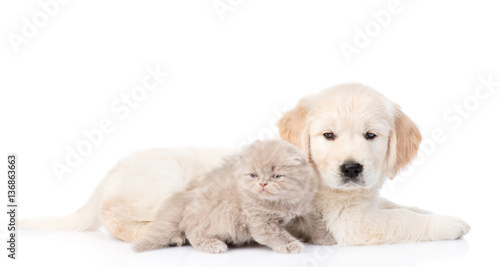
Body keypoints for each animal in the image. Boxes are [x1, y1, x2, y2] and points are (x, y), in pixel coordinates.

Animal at [133, 139, 336, 254]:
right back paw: (213, 245)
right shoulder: (261, 223)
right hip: (218, 215)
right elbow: (279, 236)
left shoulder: (304, 210)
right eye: (254, 175)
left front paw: (328, 240)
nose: (263, 184)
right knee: (193, 234)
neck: (281, 202)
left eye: (276, 176)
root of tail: (185, 198)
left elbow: (316, 225)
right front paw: (292, 246)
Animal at [280, 83, 470, 245]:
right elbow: (403, 217)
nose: (351, 169)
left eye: (370, 135)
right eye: (328, 135)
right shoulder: (347, 221)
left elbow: (395, 205)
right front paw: (446, 223)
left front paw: (429, 212)